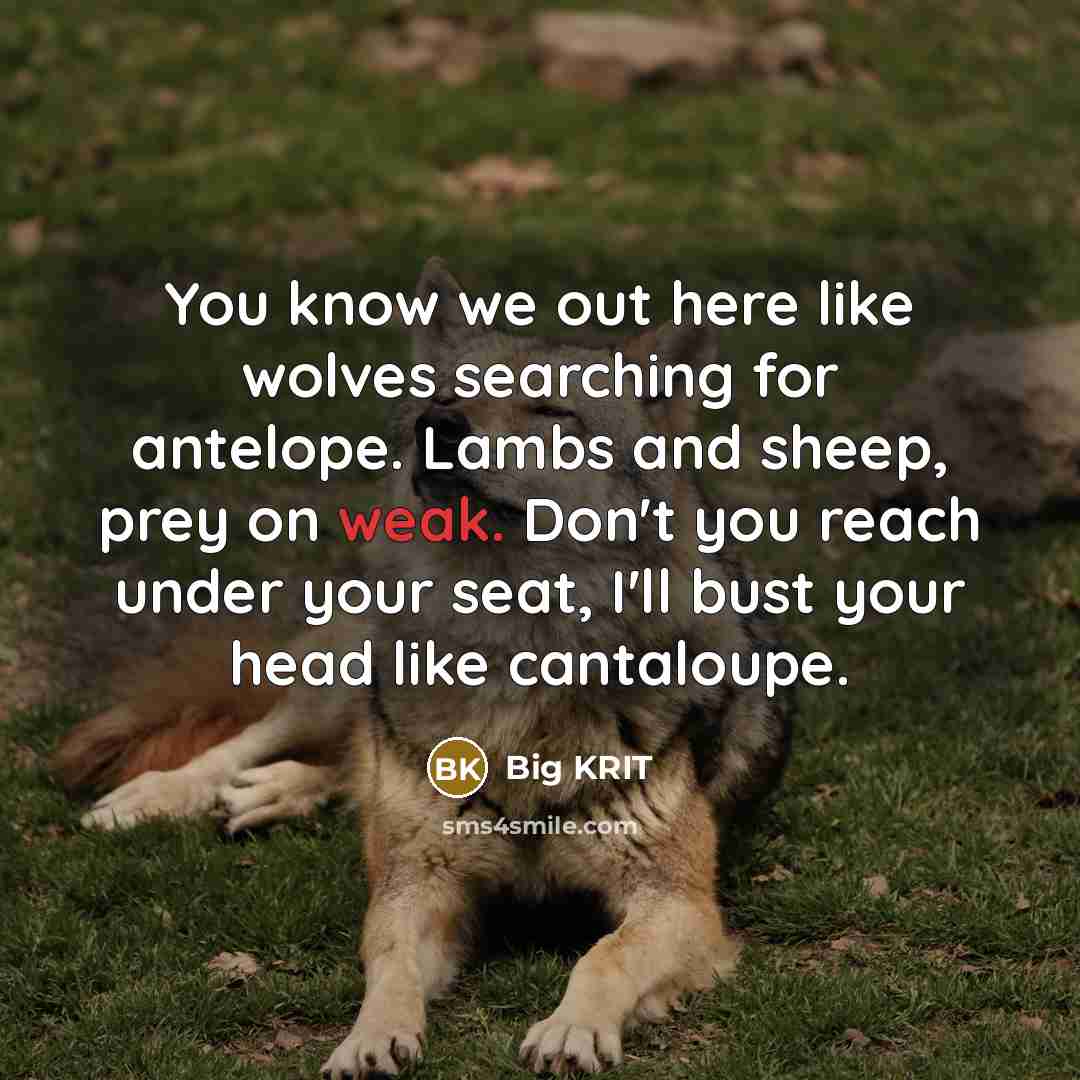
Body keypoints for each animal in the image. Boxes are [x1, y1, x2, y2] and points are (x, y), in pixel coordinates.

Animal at [55, 258, 794, 1078]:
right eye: (447, 395)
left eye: (552, 412)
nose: (438, 426)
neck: (515, 661)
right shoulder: (416, 887)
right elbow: (389, 965)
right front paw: (370, 1037)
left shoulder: (679, 903)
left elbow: (603, 956)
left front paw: (572, 1028)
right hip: (346, 665)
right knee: (264, 743)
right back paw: (158, 796)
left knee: (347, 771)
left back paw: (280, 792)